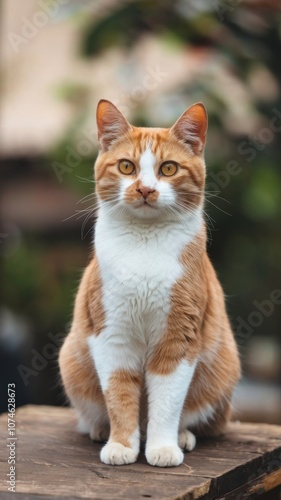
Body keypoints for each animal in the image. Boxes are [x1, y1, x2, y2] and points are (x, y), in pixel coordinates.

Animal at [58, 99, 240, 466]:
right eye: (126, 166)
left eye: (168, 169)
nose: (145, 189)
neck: (144, 242)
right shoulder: (111, 334)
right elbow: (119, 393)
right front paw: (121, 446)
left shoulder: (179, 338)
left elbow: (167, 400)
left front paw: (162, 448)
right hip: (71, 360)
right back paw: (101, 430)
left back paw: (182, 436)